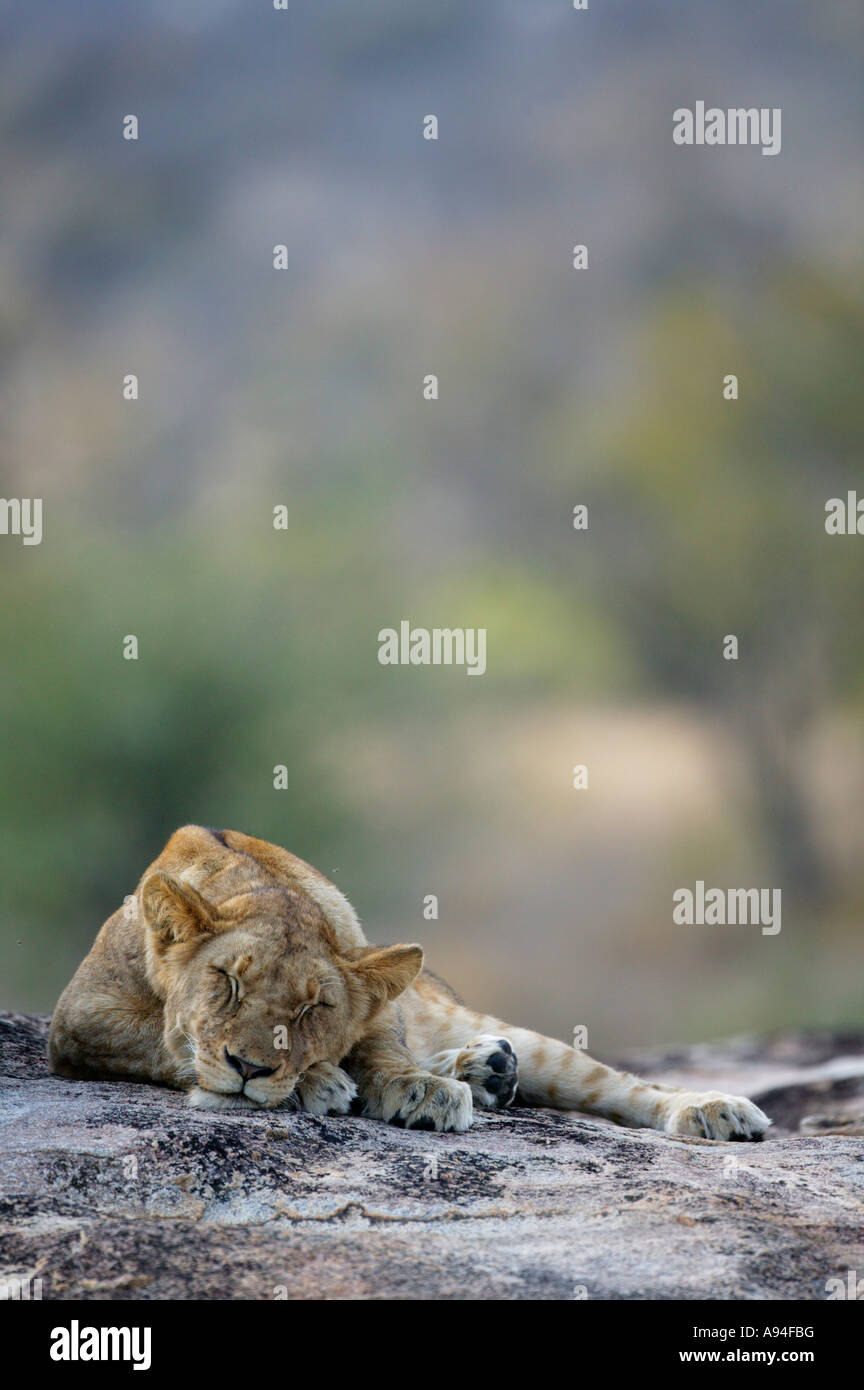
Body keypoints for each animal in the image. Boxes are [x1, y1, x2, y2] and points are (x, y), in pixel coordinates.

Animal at [48, 825, 770, 1138]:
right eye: (224, 981)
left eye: (314, 1008)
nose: (249, 1068)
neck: (264, 889)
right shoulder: (79, 1018)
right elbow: (166, 1043)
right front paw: (316, 1082)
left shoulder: (376, 997)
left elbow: (383, 1046)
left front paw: (417, 1089)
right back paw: (483, 1071)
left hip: (503, 1031)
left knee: (621, 1085)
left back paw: (714, 1109)